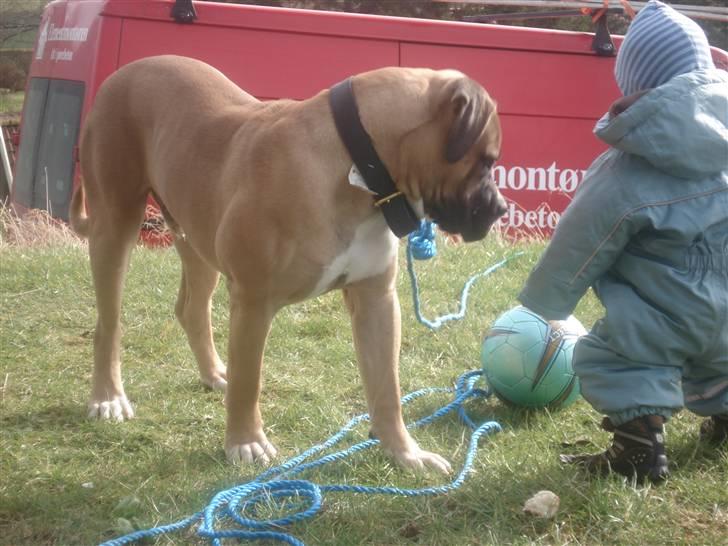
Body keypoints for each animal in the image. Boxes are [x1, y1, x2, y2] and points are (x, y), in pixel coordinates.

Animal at [69, 56, 506, 472]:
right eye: (486, 162)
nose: (500, 208)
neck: (357, 164)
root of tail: (125, 72)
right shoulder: (253, 302)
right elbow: (250, 380)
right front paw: (245, 442)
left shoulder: (376, 300)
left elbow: (387, 388)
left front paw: (404, 452)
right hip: (115, 225)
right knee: (108, 324)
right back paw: (108, 397)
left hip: (196, 236)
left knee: (191, 309)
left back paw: (214, 373)